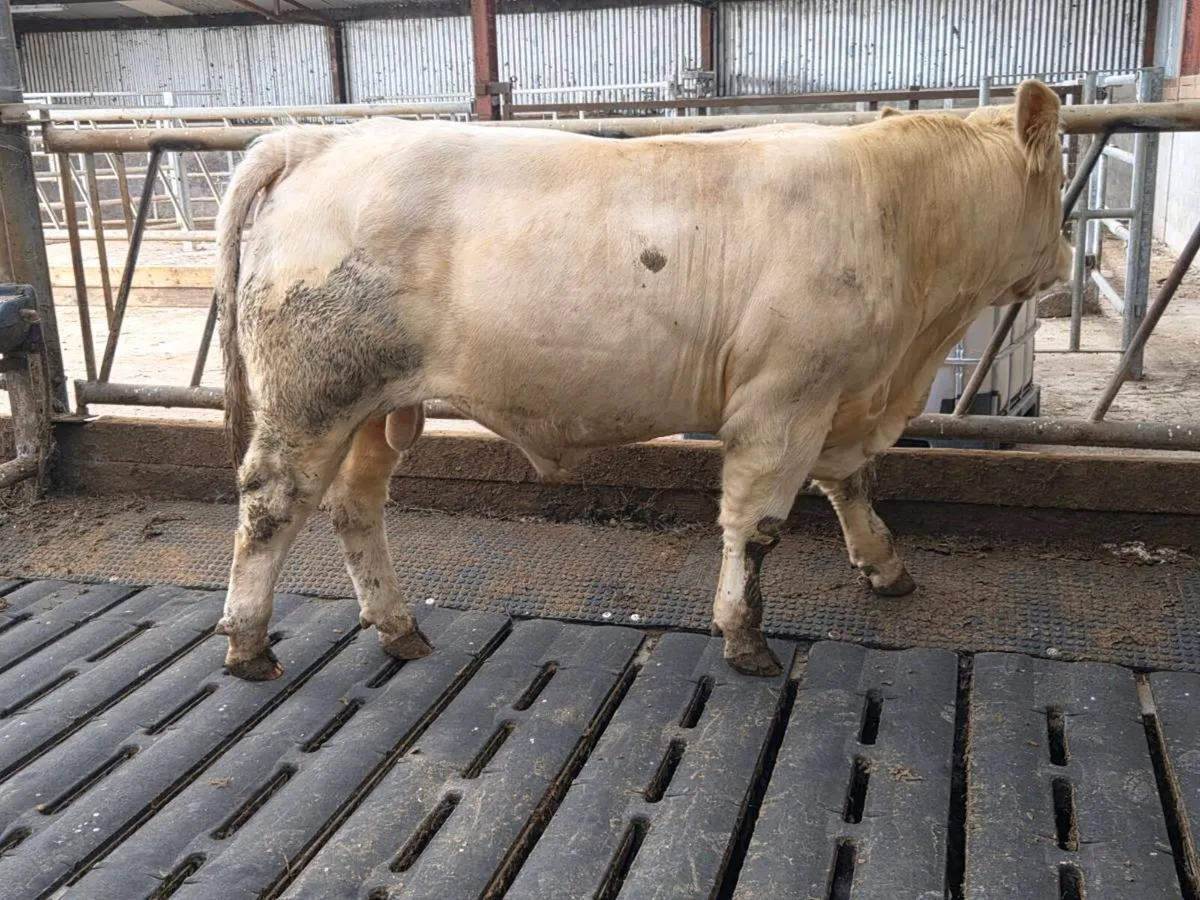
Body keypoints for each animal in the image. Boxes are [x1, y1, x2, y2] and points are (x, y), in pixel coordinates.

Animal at [212, 80, 1071, 682]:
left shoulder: (842, 397)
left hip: (373, 408)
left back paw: (397, 627)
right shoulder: (782, 400)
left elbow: (851, 483)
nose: (1064, 261)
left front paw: (885, 566)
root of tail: (318, 141)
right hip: (313, 399)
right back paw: (249, 644)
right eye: (1061, 182)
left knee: (354, 506)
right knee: (271, 503)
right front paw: (745, 636)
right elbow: (758, 524)